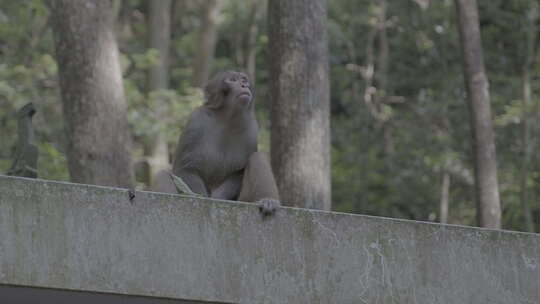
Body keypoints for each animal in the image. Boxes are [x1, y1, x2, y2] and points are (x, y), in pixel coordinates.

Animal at [172, 71, 282, 216]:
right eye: (232, 80)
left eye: (244, 80)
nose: (243, 85)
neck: (227, 118)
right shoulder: (196, 121)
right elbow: (185, 168)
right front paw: (201, 198)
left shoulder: (251, 129)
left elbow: (240, 171)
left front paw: (218, 197)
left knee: (258, 157)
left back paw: (268, 200)